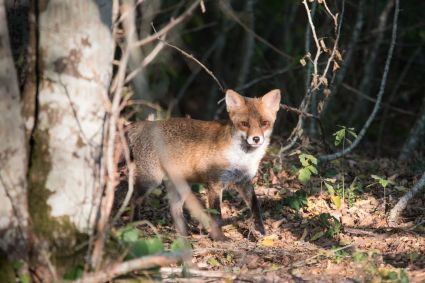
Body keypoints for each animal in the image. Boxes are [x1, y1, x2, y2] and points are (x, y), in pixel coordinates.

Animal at [124, 90, 280, 241]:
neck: (242, 157)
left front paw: (260, 229)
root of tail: (145, 124)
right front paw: (220, 238)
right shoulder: (215, 183)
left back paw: (186, 233)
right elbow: (216, 215)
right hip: (151, 180)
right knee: (134, 199)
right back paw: (134, 226)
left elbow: (256, 206)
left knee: (174, 208)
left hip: (182, 186)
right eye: (245, 124)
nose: (256, 139)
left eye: (264, 123)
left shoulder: (243, 181)